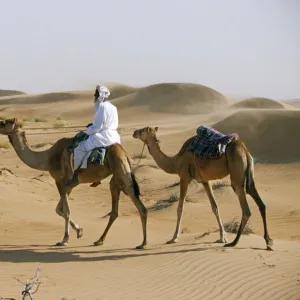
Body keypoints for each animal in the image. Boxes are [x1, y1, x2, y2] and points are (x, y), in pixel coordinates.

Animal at [0, 119, 148, 248]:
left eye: (4, 122)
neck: (47, 158)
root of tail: (126, 154)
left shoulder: (61, 181)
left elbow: (66, 211)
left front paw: (64, 239)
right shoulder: (69, 185)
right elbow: (59, 210)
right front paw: (79, 231)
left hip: (122, 173)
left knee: (139, 207)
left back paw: (142, 243)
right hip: (117, 179)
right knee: (116, 211)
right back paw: (101, 240)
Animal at [132, 125, 274, 250]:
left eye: (143, 130)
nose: (134, 132)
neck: (175, 161)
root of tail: (245, 150)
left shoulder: (184, 177)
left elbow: (180, 207)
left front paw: (174, 238)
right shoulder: (205, 181)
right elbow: (215, 206)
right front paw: (222, 237)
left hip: (237, 176)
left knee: (246, 208)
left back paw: (234, 242)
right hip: (249, 174)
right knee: (260, 203)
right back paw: (268, 242)